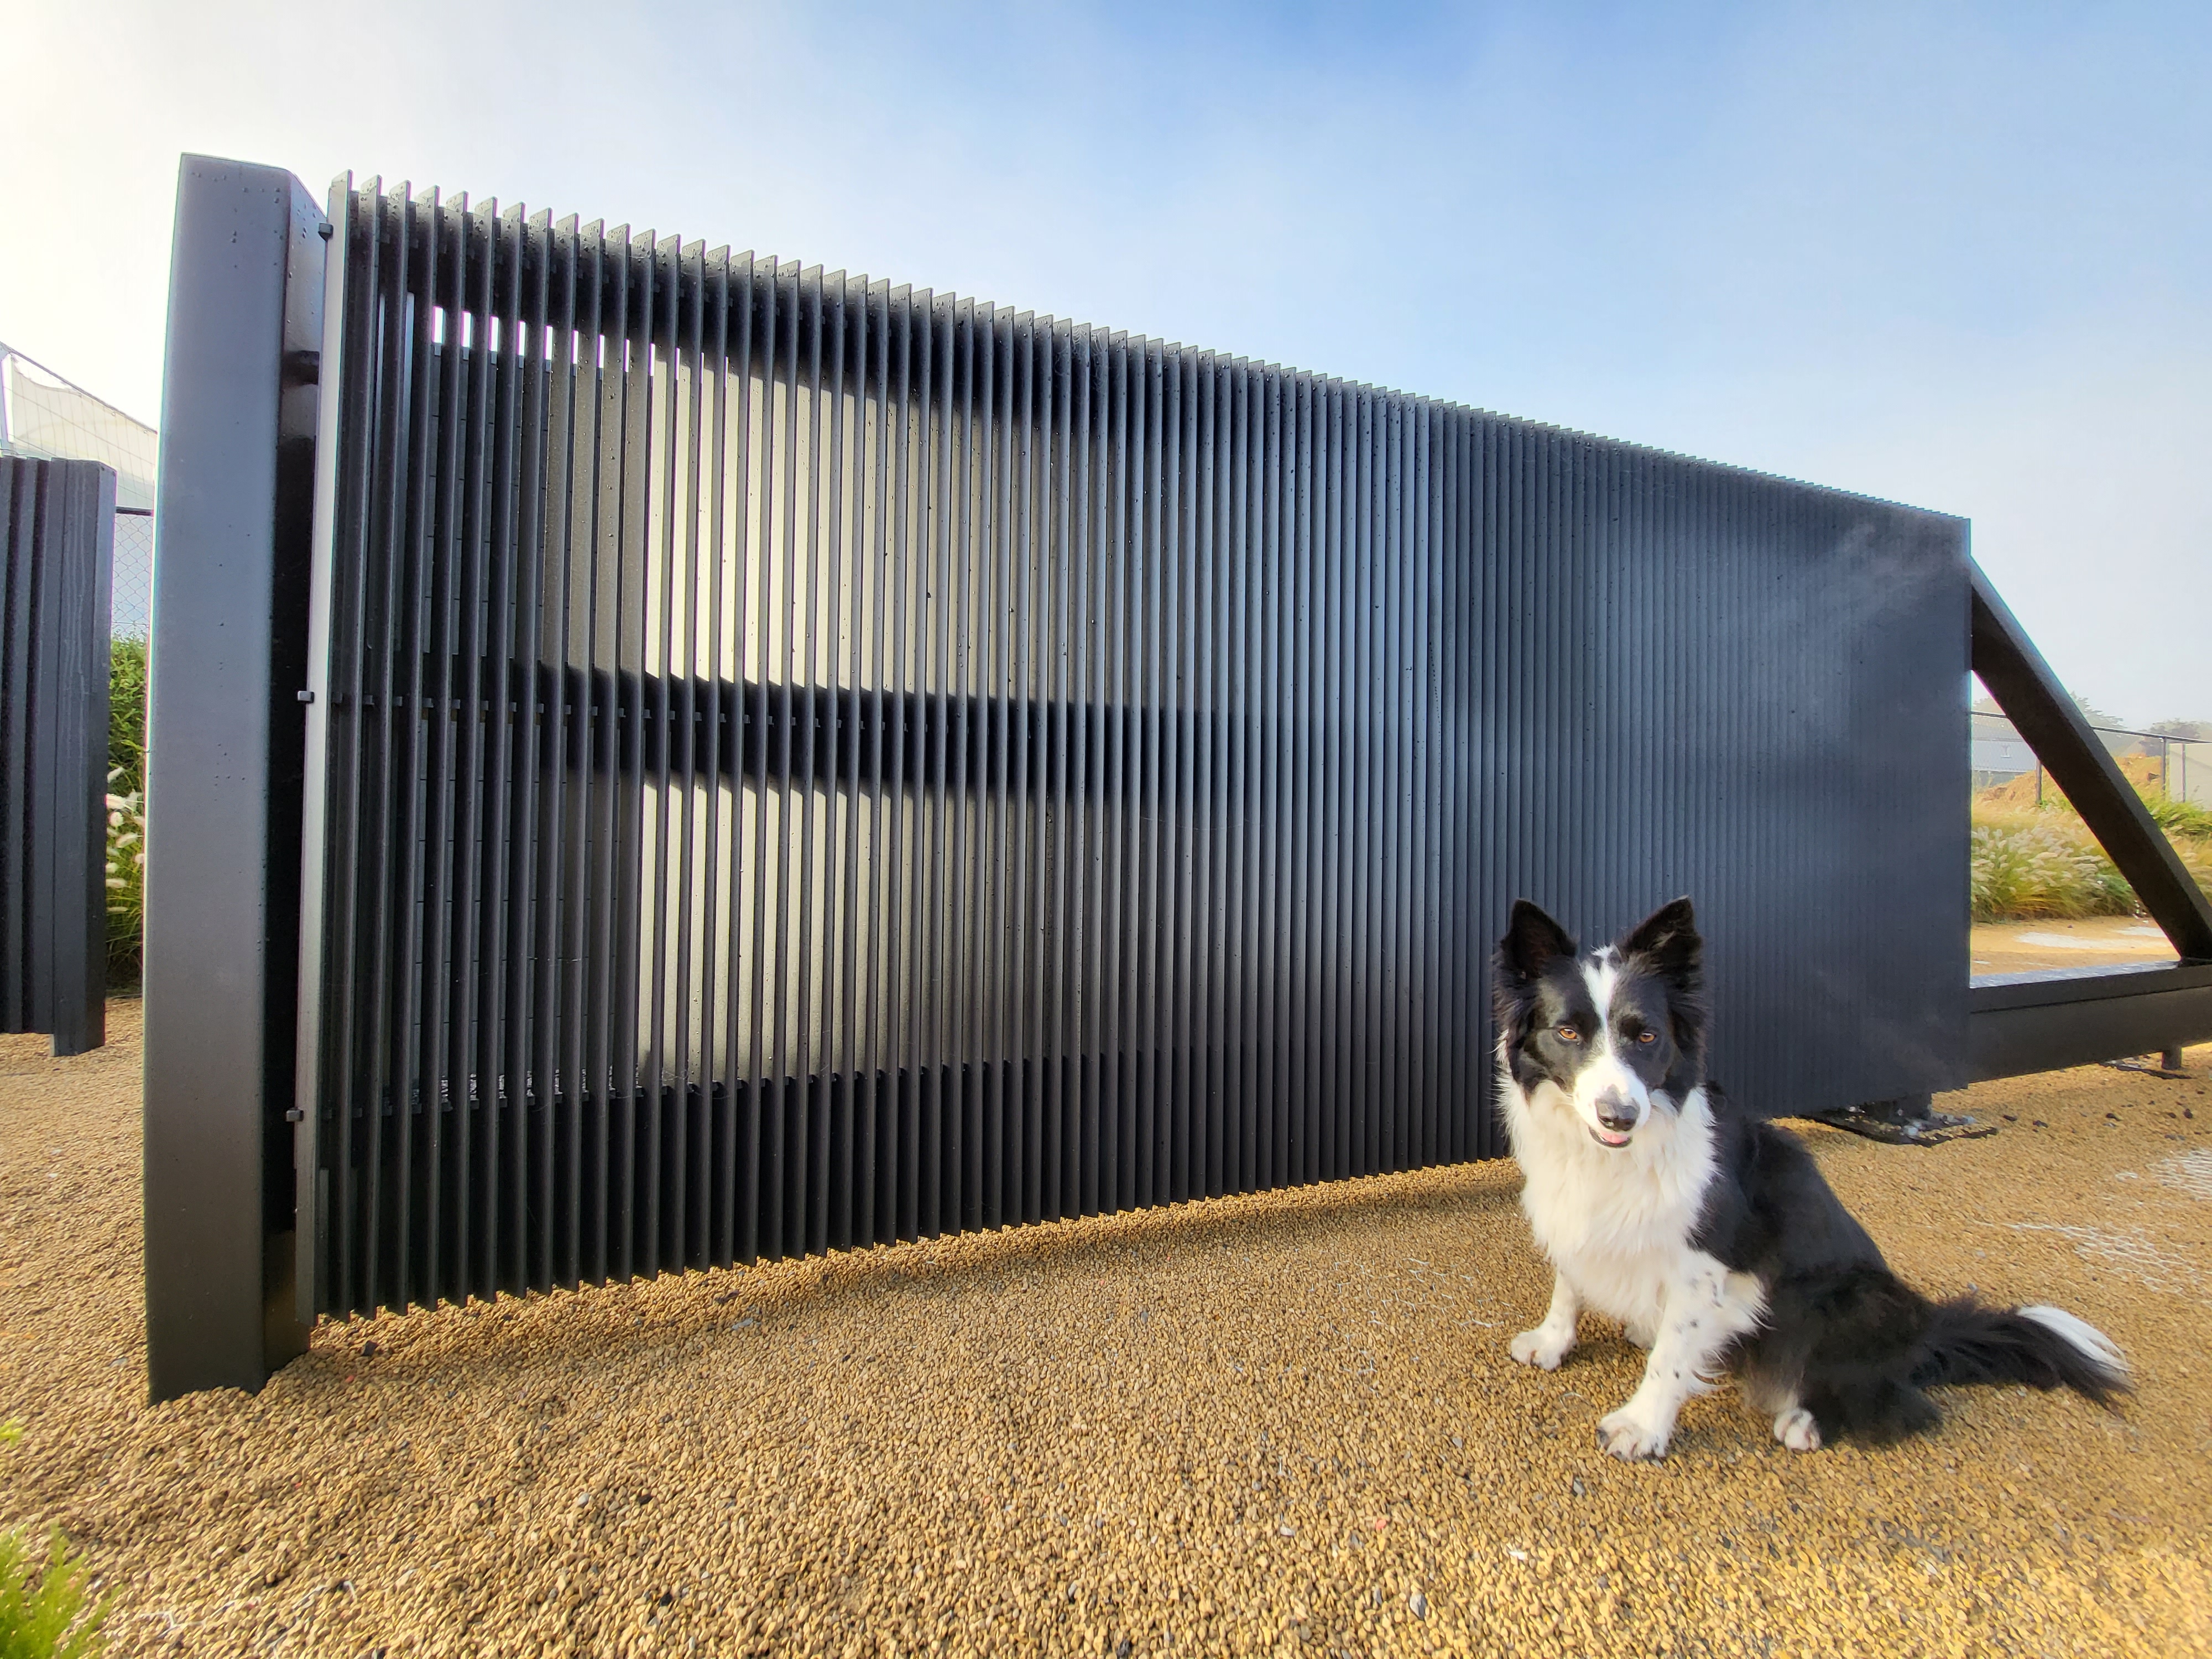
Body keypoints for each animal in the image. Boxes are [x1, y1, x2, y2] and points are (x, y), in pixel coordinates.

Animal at [1486, 902, 2124, 1460]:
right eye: (1568, 1034)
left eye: (1646, 1038)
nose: (1619, 1116)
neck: (1607, 1156)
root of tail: (1925, 1339)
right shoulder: (1573, 1217)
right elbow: (1569, 1283)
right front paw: (1552, 1341)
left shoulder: (1704, 1264)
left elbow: (1671, 1356)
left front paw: (1643, 1426)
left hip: (1851, 1301)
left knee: (1901, 1406)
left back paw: (1806, 1420)